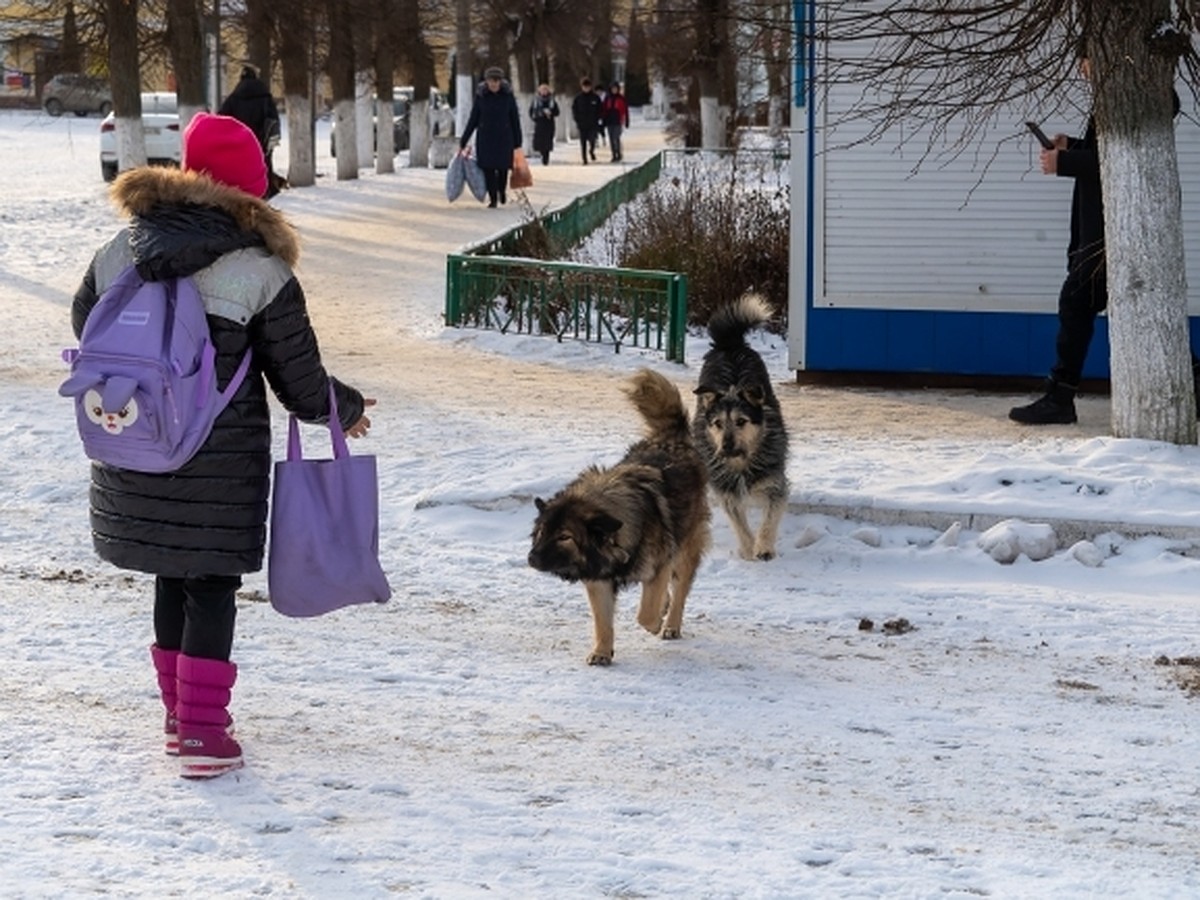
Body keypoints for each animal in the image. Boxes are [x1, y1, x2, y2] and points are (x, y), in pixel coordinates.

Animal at [528, 367, 710, 672]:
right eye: (542, 531)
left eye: (565, 536)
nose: (531, 558)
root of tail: (672, 438)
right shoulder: (598, 580)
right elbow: (603, 623)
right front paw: (602, 652)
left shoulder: (660, 564)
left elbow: (646, 614)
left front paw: (656, 621)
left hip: (685, 549)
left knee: (681, 590)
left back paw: (671, 624)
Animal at [696, 296, 787, 561]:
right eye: (717, 423)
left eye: (741, 421)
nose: (726, 446)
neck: (742, 461)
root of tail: (729, 343)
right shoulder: (725, 489)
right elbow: (738, 521)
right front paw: (747, 549)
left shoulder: (775, 482)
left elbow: (770, 517)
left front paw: (764, 546)